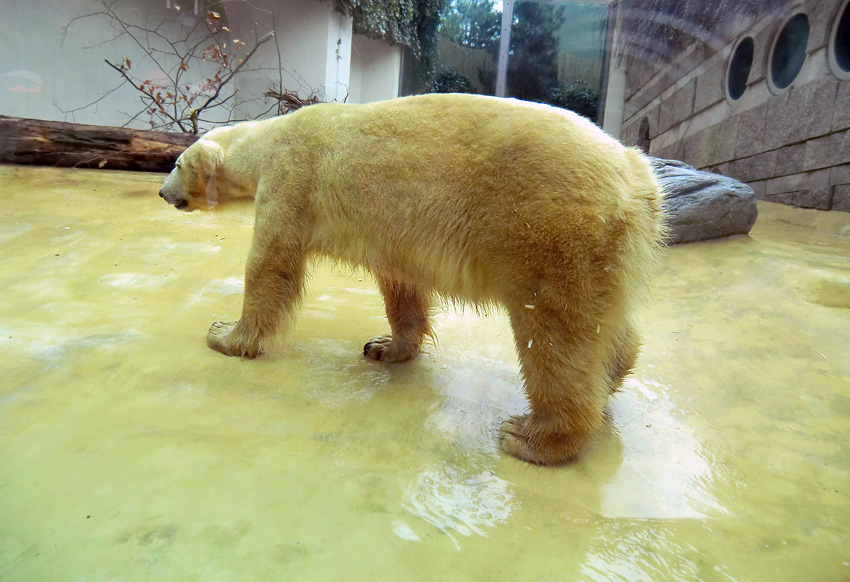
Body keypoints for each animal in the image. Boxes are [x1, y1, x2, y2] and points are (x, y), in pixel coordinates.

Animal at [157, 93, 664, 468]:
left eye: (176, 163)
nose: (162, 193)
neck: (266, 138)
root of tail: (638, 174)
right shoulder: (391, 231)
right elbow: (400, 284)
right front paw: (385, 346)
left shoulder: (291, 180)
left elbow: (270, 264)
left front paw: (225, 334)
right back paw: (614, 371)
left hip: (550, 231)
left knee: (555, 332)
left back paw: (532, 436)